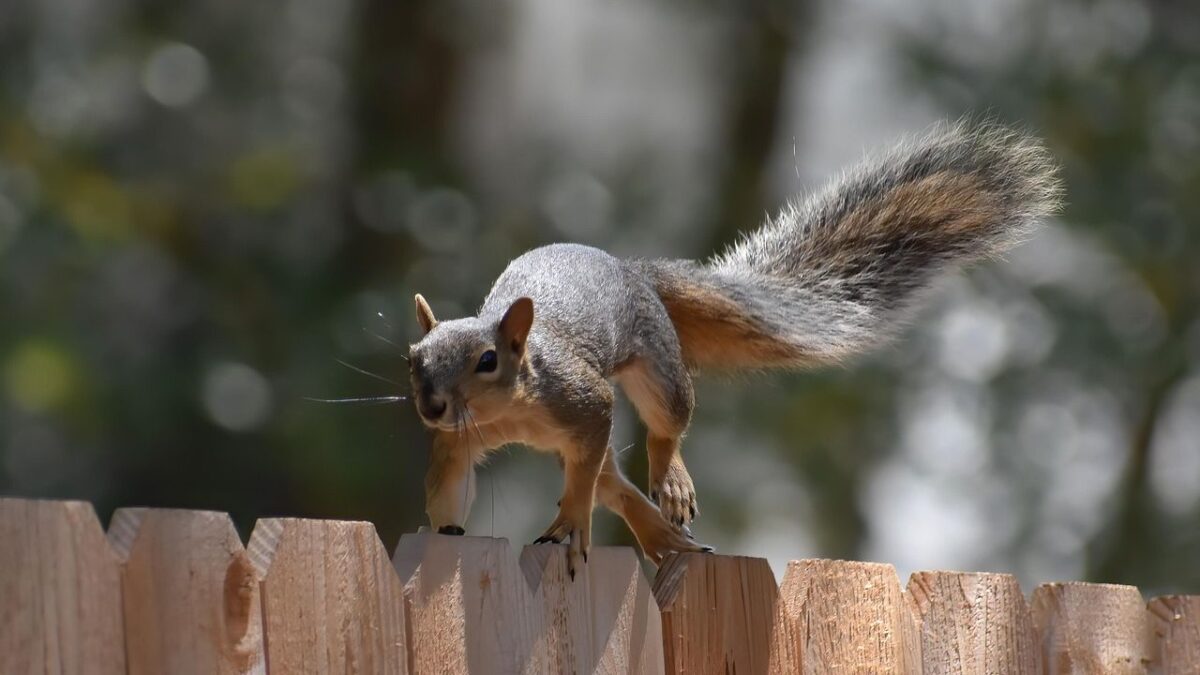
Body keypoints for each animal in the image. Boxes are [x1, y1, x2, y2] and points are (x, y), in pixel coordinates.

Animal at [407, 120, 1062, 577]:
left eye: (487, 361)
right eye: (412, 360)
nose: (432, 407)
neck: (511, 408)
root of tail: (634, 270)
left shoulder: (584, 402)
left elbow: (588, 473)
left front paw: (569, 526)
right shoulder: (460, 442)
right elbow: (451, 485)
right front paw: (443, 535)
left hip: (660, 371)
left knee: (659, 433)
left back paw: (669, 482)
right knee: (612, 481)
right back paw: (659, 536)